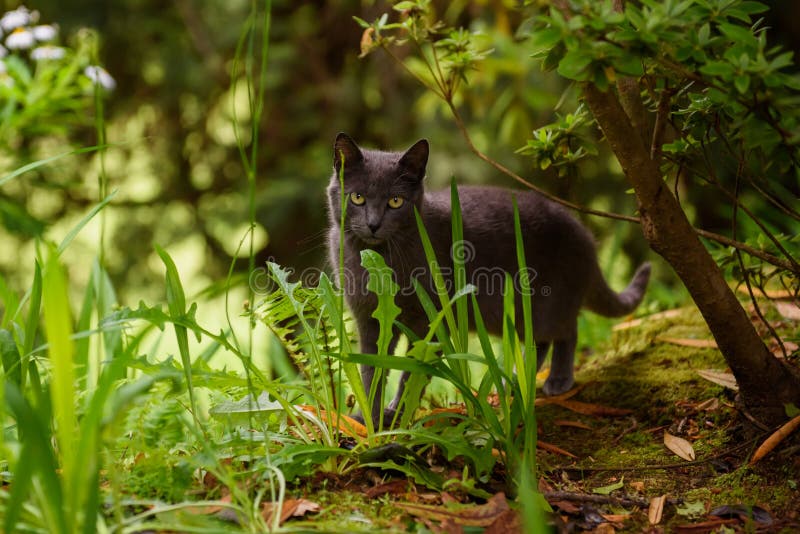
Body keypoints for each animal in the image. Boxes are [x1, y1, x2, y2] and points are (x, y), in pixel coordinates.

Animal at [328, 134, 648, 428]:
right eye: (357, 198)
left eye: (395, 201)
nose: (373, 224)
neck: (379, 260)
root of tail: (586, 238)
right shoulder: (369, 318)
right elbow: (372, 368)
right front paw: (368, 418)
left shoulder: (433, 317)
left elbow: (413, 368)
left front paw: (398, 414)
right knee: (540, 340)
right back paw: (516, 382)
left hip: (551, 300)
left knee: (566, 331)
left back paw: (556, 380)